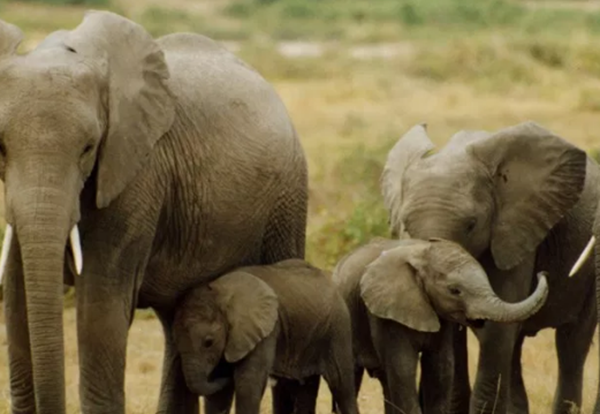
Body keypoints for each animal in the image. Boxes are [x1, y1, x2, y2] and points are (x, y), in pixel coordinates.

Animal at [0, 9, 308, 414]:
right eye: (0, 147)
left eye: (89, 147)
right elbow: (17, 299)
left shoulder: (137, 175)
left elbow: (100, 311)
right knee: (178, 323)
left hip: (287, 199)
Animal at [173, 258, 360, 414]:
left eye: (208, 342)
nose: (227, 377)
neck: (219, 293)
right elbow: (219, 396)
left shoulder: (266, 330)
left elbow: (248, 384)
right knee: (304, 387)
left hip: (338, 326)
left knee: (341, 385)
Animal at [332, 236, 548, 414]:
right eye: (454, 291)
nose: (541, 272)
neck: (421, 252)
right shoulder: (385, 315)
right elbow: (403, 368)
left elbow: (440, 368)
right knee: (352, 377)